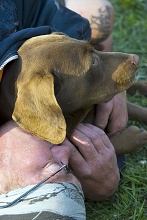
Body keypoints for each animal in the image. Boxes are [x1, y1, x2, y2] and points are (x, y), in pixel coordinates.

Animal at [0, 33, 146, 155]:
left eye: (94, 49)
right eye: (92, 61)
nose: (137, 58)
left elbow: (139, 110)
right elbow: (112, 143)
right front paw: (135, 137)